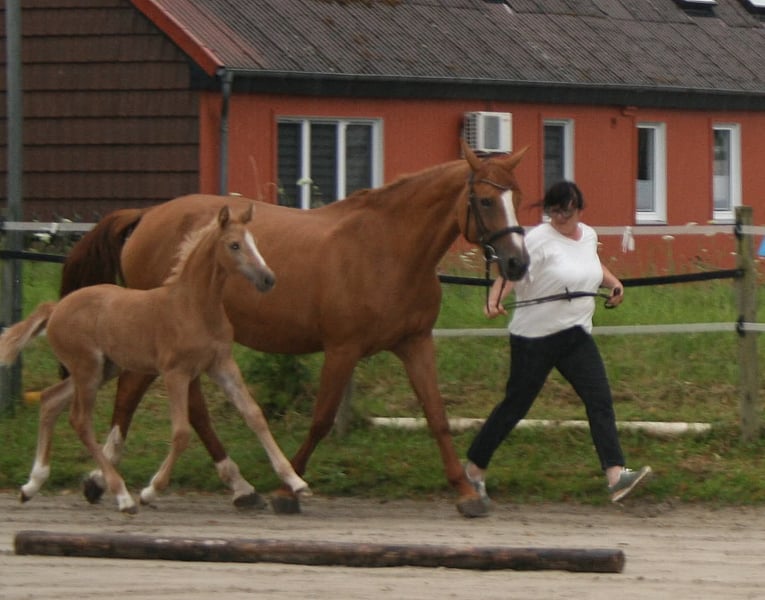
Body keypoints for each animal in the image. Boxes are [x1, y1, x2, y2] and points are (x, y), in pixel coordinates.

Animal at [0, 204, 310, 513]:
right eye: (234, 245)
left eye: (254, 242)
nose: (268, 279)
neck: (194, 306)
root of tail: (55, 308)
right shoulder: (176, 373)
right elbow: (182, 432)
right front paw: (150, 491)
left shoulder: (221, 364)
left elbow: (254, 415)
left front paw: (295, 482)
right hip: (87, 369)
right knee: (80, 420)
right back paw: (123, 496)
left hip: (103, 369)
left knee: (50, 400)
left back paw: (32, 485)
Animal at [58, 141, 530, 518]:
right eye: (485, 200)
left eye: (517, 197)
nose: (517, 262)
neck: (388, 249)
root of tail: (146, 215)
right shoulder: (342, 348)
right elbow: (321, 419)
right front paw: (289, 489)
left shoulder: (415, 343)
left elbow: (437, 417)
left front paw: (466, 492)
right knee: (133, 393)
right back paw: (107, 478)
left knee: (186, 407)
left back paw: (235, 488)